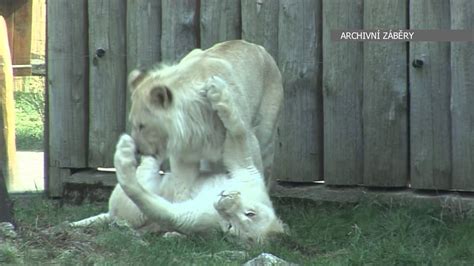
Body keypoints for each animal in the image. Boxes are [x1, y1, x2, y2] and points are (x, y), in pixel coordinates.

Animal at [71, 85, 286, 243]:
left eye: (230, 226)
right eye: (251, 213)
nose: (225, 202)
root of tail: (109, 213)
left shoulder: (194, 219)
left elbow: (156, 206)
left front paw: (123, 159)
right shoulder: (245, 170)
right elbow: (238, 131)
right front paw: (218, 93)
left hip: (133, 203)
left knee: (146, 169)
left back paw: (134, 146)